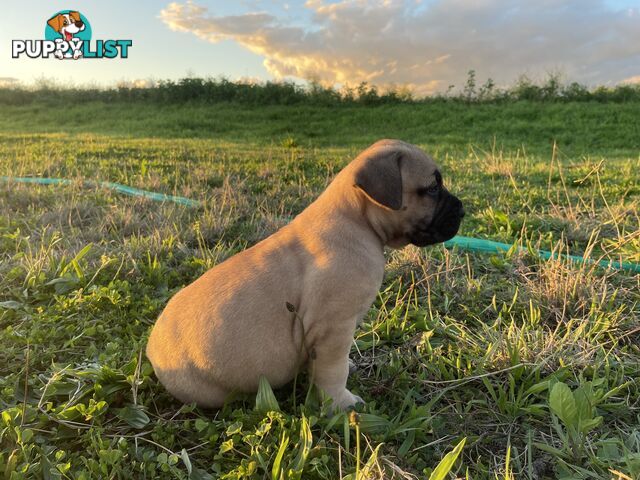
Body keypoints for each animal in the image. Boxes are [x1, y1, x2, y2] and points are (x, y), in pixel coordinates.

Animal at [146, 138, 464, 408]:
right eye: (432, 189)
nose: (462, 210)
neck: (357, 220)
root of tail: (152, 352)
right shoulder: (333, 329)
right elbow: (332, 372)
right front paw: (342, 404)